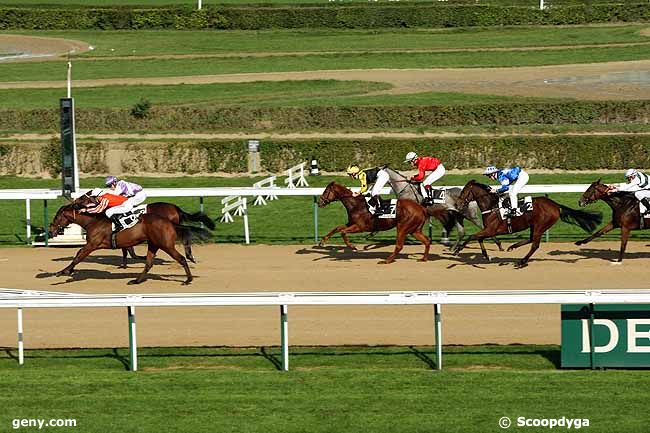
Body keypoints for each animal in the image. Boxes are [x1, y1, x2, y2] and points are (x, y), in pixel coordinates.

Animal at [48, 202, 208, 284]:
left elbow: (78, 255)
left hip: (166, 245)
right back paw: (136, 280)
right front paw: (67, 271)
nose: (51, 230)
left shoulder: (92, 245)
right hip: (154, 244)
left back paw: (188, 279)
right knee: (149, 263)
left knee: (181, 258)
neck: (93, 221)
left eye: (57, 217)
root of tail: (169, 222)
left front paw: (63, 272)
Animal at [74, 192, 214, 266]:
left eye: (82, 197)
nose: (74, 202)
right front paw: (124, 264)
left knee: (185, 238)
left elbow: (128, 249)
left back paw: (189, 257)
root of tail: (175, 208)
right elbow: (126, 248)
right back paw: (190, 257)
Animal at [450, 180, 596, 266]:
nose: (458, 204)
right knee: (531, 239)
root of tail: (555, 205)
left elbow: (473, 236)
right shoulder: (488, 230)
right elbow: (479, 238)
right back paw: (512, 247)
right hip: (534, 225)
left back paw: (522, 261)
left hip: (540, 226)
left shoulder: (491, 230)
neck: (492, 207)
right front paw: (486, 256)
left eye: (463, 191)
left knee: (535, 245)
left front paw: (457, 250)